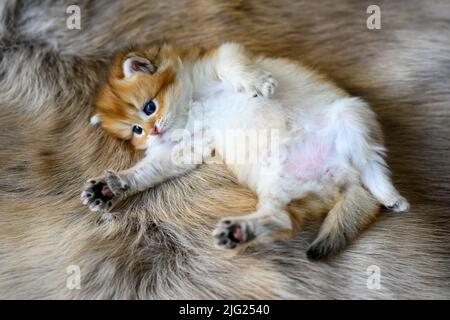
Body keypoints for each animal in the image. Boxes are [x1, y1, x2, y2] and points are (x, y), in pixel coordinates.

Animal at [82, 42, 410, 258]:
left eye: (149, 107)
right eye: (135, 131)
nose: (153, 132)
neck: (193, 102)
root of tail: (339, 178)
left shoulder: (221, 56)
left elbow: (232, 64)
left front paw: (257, 83)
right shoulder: (188, 146)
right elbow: (149, 169)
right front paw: (111, 186)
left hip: (351, 114)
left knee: (371, 166)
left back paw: (391, 196)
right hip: (274, 181)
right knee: (282, 220)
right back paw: (239, 232)